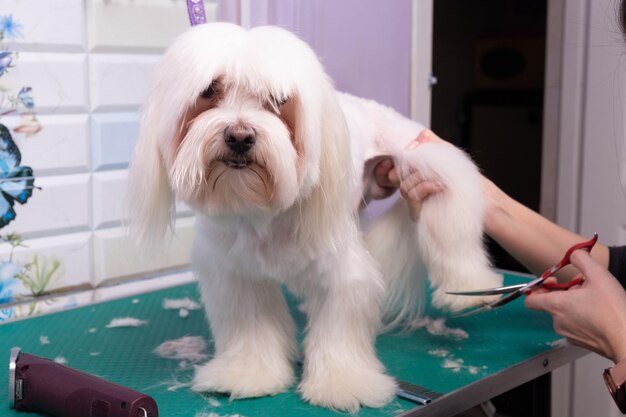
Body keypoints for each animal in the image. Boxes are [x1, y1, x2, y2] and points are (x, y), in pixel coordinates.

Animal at [128, 23, 502, 412]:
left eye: (278, 101)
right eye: (208, 92)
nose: (240, 136)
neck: (264, 212)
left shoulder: (343, 273)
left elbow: (339, 329)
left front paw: (344, 384)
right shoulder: (235, 273)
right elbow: (251, 327)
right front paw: (248, 374)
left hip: (426, 164)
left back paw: (469, 291)